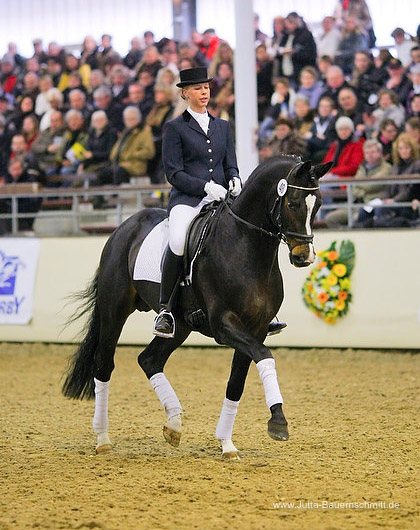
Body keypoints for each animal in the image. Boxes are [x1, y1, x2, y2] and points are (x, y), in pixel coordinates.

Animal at [61, 154, 332, 458]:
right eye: (293, 203)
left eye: (318, 205)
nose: (304, 257)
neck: (246, 248)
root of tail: (124, 228)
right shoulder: (224, 324)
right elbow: (264, 356)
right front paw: (278, 422)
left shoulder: (257, 327)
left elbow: (236, 383)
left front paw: (227, 444)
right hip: (114, 312)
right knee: (104, 365)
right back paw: (103, 439)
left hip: (180, 325)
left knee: (149, 359)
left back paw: (174, 424)